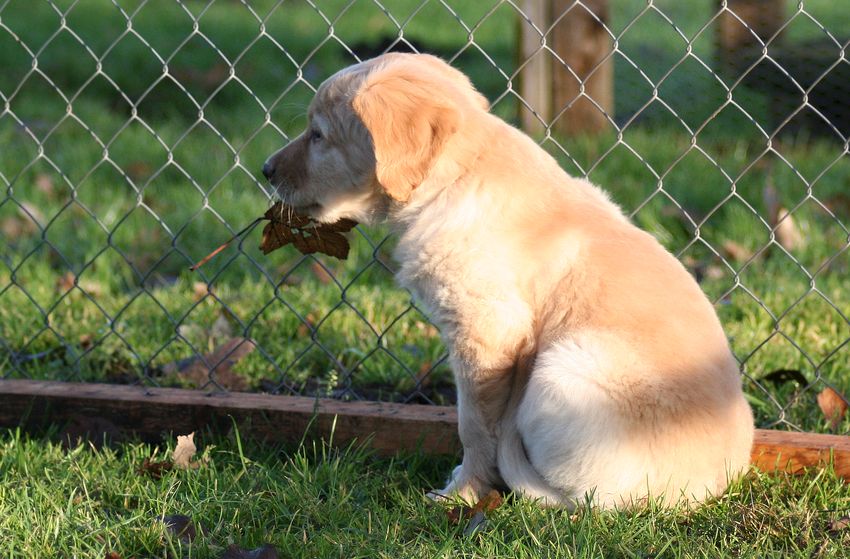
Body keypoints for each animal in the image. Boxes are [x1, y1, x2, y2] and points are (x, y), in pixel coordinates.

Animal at [262, 53, 754, 509]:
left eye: (318, 135)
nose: (265, 169)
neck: (457, 177)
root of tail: (705, 491)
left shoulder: (487, 334)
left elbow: (475, 426)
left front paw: (462, 493)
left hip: (561, 370)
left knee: (583, 499)